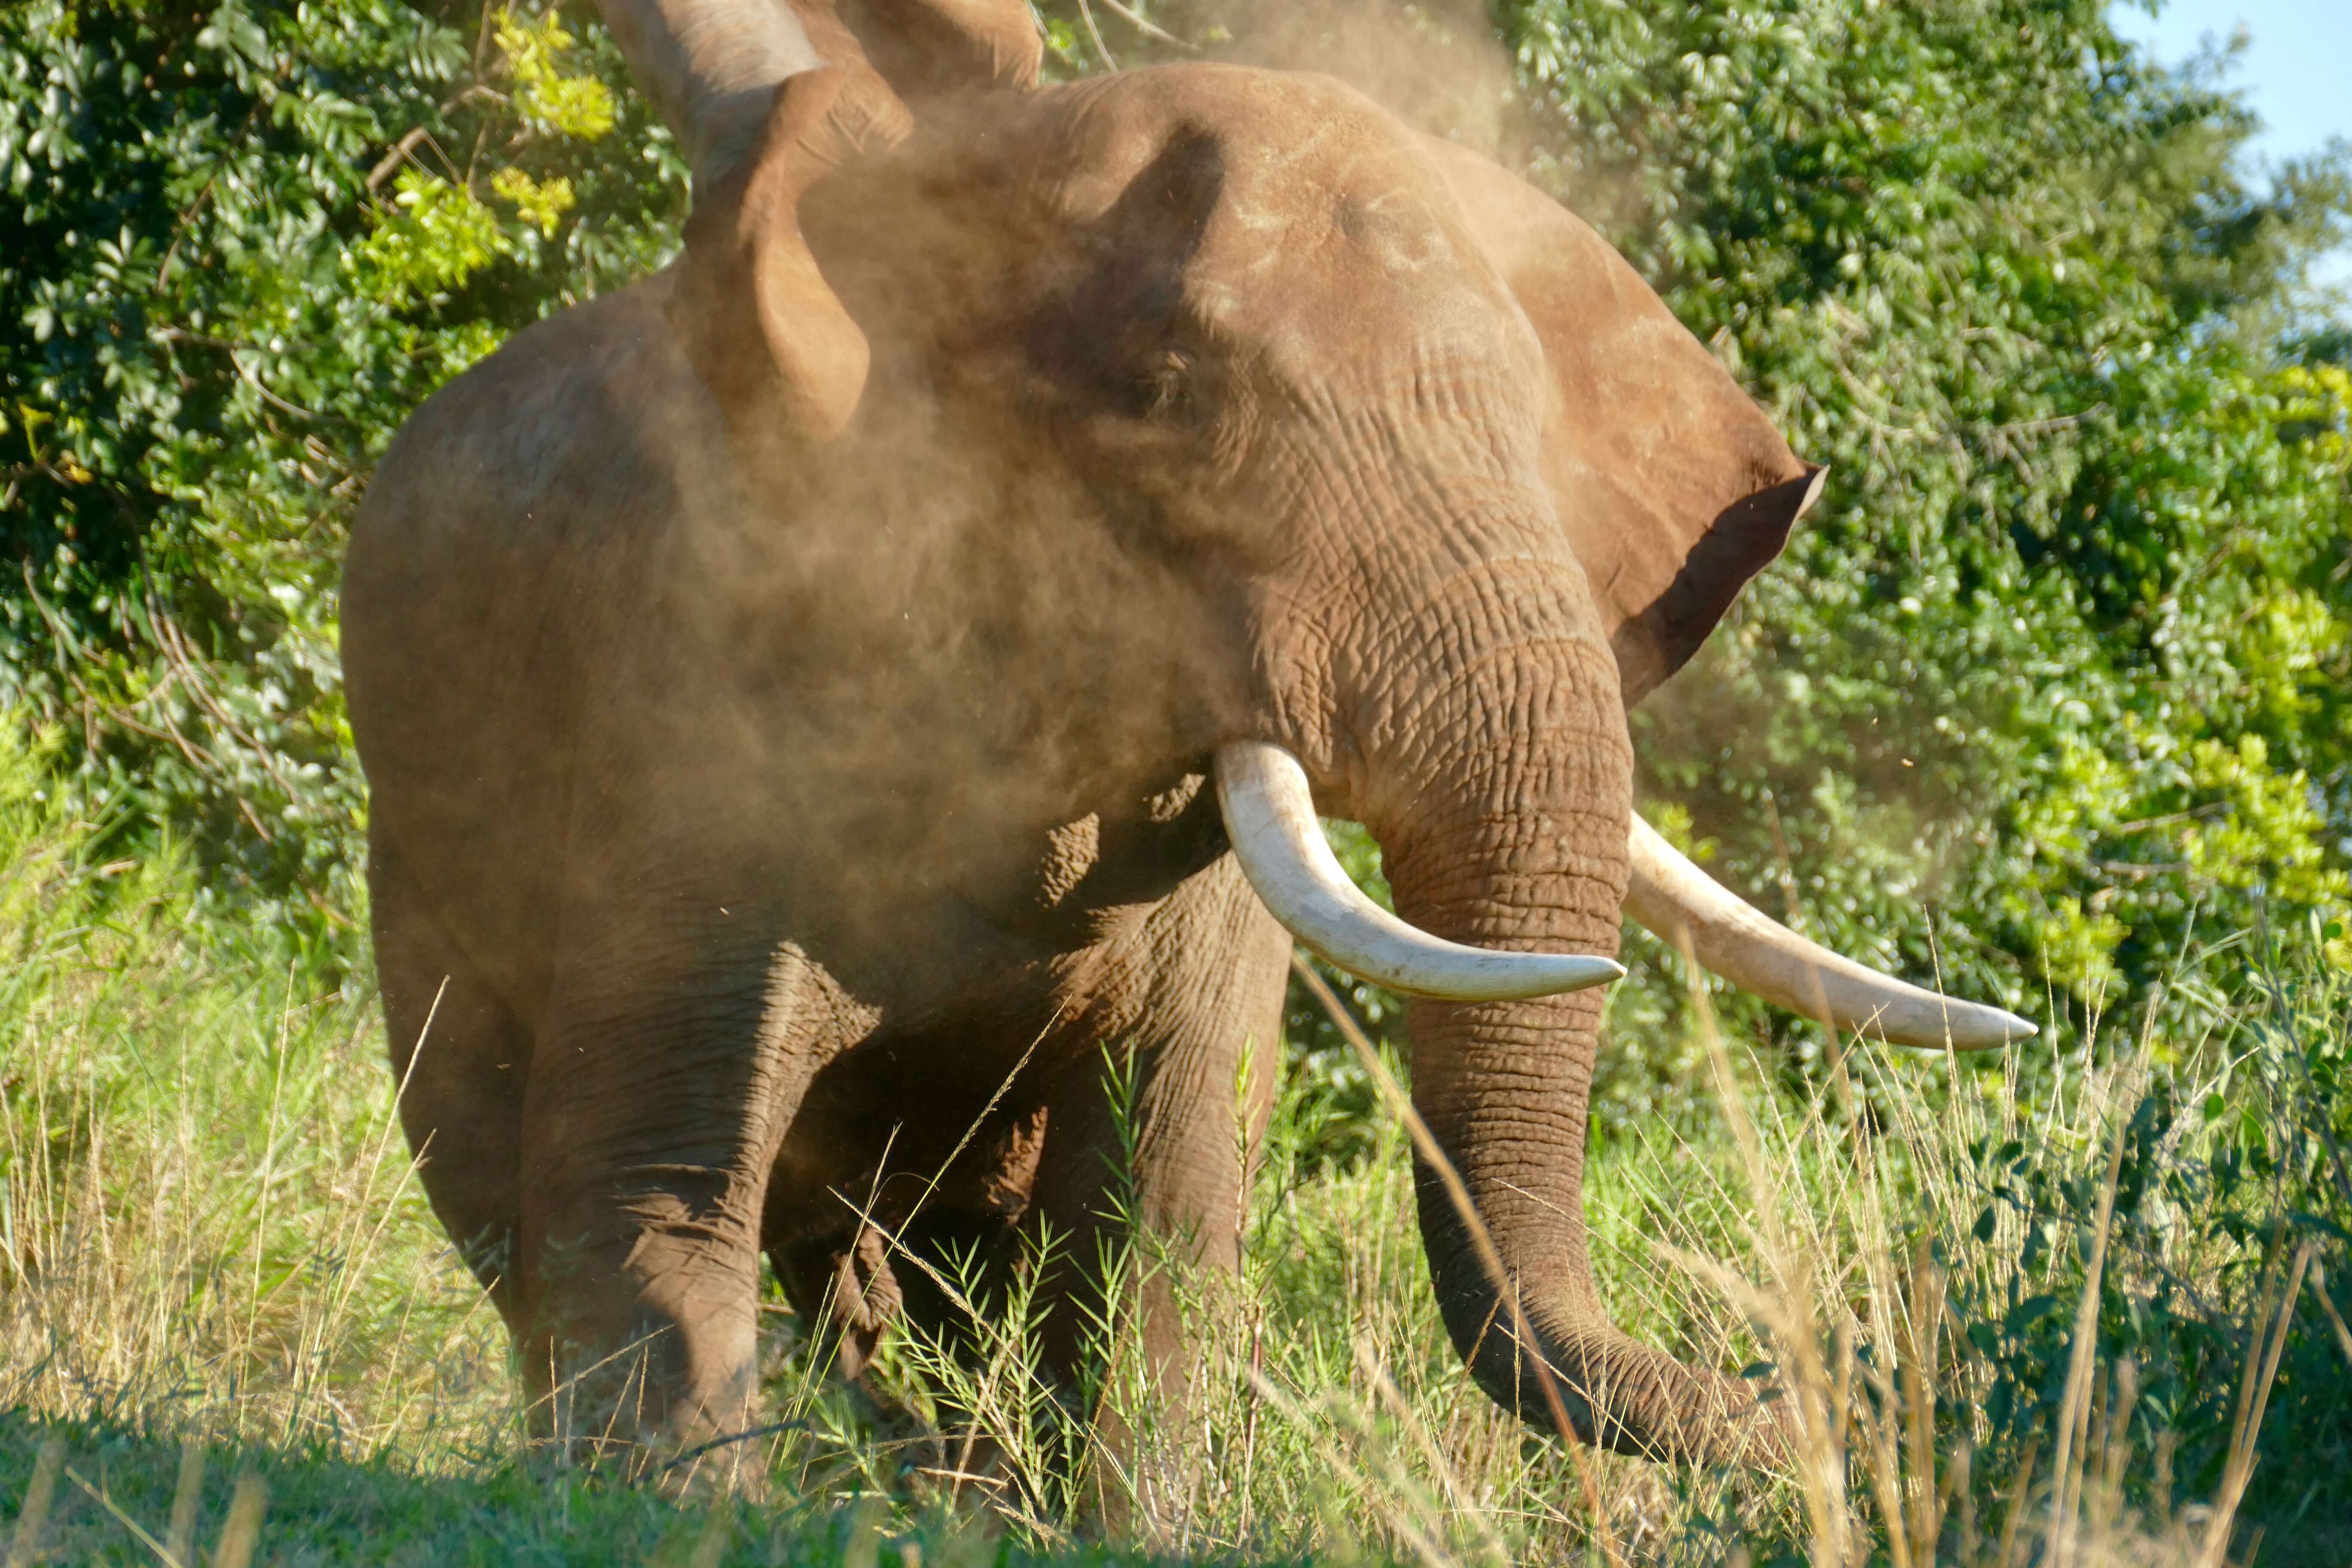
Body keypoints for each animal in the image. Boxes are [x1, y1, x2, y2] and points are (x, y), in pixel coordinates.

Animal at [341, 0, 2032, 1485]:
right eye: (1166, 400)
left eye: (1531, 433)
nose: (1818, 1393)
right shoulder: (700, 698)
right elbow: (651, 1191)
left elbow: (1164, 1210)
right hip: (418, 851)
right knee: (508, 1181)